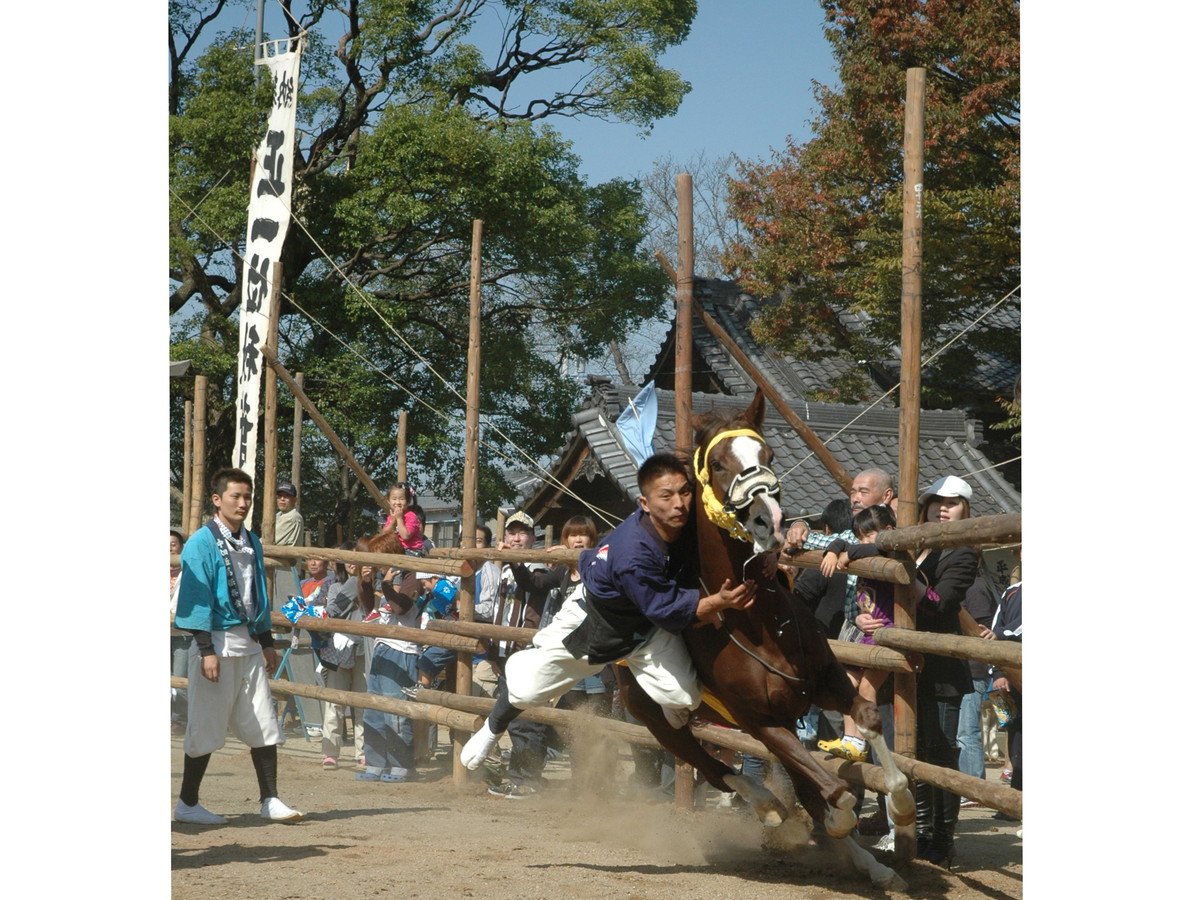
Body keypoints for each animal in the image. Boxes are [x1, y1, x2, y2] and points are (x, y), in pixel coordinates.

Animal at [614, 391, 912, 892]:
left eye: (769, 455)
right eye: (717, 463)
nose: (767, 520)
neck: (761, 626)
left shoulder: (822, 683)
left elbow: (868, 721)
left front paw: (901, 806)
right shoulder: (757, 720)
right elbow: (835, 795)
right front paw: (831, 819)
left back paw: (873, 866)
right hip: (654, 717)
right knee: (714, 768)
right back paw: (770, 809)